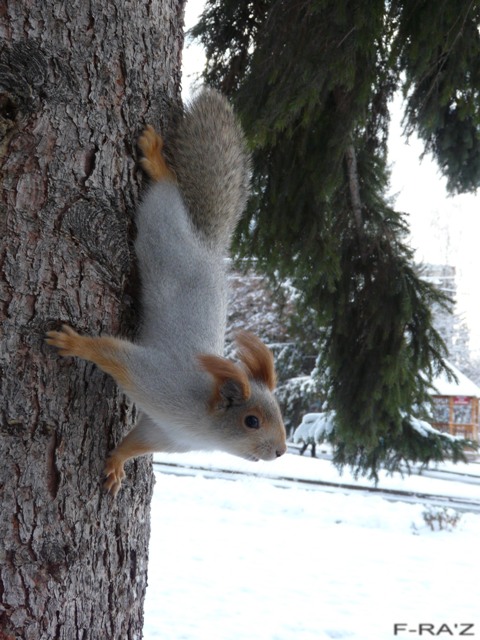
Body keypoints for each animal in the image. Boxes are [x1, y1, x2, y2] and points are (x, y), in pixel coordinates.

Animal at [46, 89, 287, 496]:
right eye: (251, 421)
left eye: (281, 414)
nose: (282, 451)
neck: (201, 424)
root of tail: (207, 247)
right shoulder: (158, 378)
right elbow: (115, 355)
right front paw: (75, 343)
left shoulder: (165, 432)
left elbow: (136, 443)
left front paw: (117, 464)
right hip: (163, 233)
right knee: (165, 196)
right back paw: (157, 161)